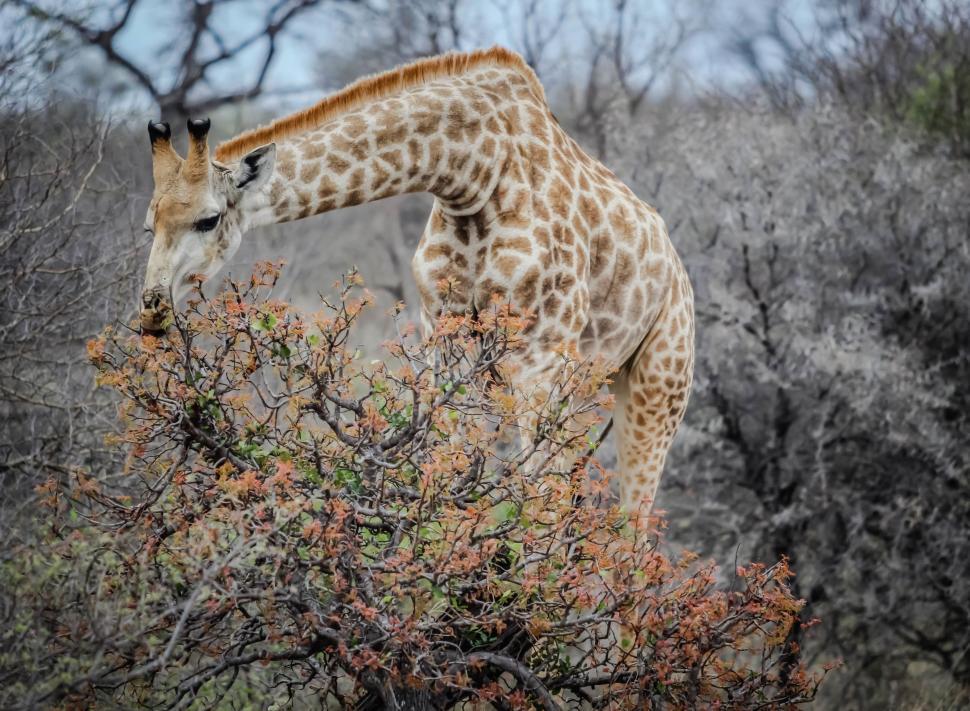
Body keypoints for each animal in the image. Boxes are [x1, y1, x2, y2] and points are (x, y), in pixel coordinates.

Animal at [139, 47, 694, 511]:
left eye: (208, 219)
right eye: (149, 224)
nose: (151, 310)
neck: (473, 173)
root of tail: (677, 267)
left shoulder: (540, 354)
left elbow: (534, 496)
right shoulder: (441, 334)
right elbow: (444, 464)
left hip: (658, 384)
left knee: (633, 521)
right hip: (590, 381)